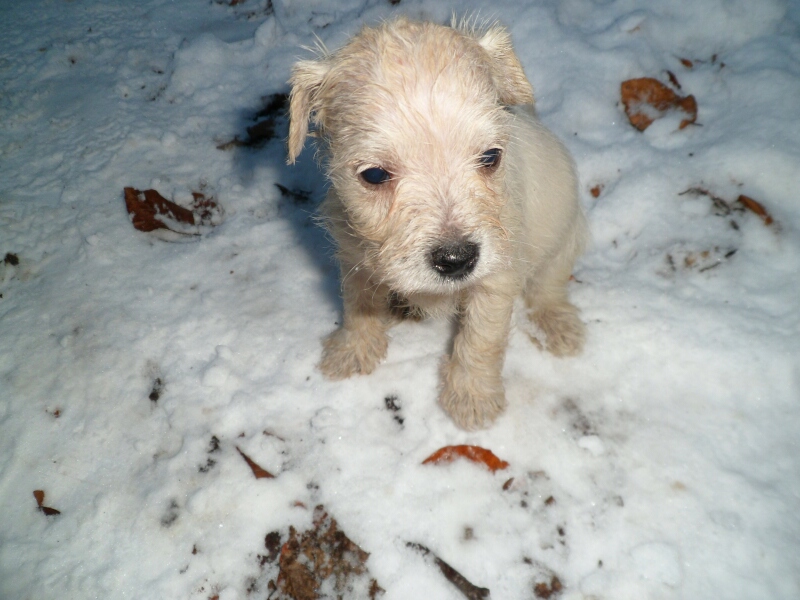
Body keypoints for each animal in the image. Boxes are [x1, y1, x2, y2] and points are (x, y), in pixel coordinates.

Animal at [288, 16, 588, 428]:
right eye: (374, 175)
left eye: (490, 156)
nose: (456, 260)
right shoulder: (354, 260)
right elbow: (358, 307)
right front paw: (353, 350)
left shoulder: (496, 279)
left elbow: (480, 340)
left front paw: (471, 397)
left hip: (563, 242)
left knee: (549, 288)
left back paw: (557, 324)